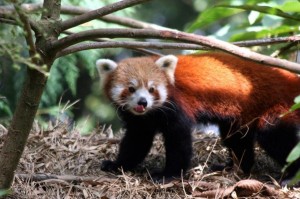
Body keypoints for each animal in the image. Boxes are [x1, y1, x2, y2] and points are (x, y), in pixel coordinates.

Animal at [96, 52, 300, 184]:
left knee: (274, 137)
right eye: (131, 88)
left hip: (279, 107)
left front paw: (168, 175)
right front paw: (117, 165)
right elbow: (137, 141)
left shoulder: (176, 105)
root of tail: (290, 79)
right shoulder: (141, 121)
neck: (151, 113)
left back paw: (291, 177)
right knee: (237, 139)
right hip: (242, 116)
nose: (143, 102)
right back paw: (234, 167)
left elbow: (179, 141)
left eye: (152, 89)